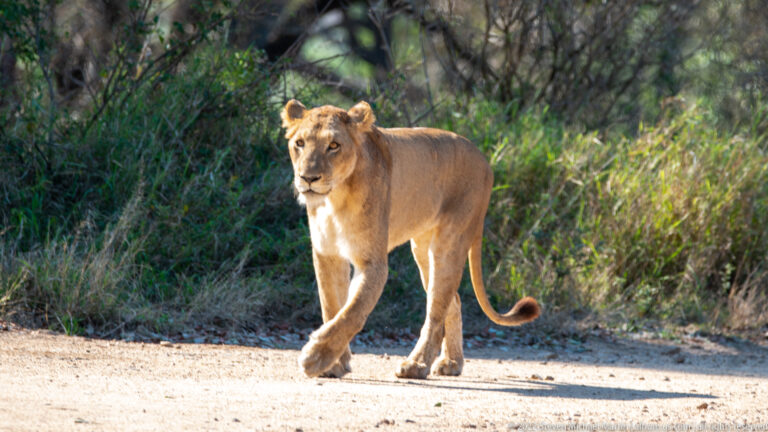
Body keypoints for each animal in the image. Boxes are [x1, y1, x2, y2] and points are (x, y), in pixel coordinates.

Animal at [281, 99, 540, 379]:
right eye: (300, 143)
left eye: (334, 146)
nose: (308, 178)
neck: (334, 199)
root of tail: (484, 159)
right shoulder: (326, 254)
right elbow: (331, 307)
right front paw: (335, 364)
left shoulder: (372, 263)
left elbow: (353, 311)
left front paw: (316, 357)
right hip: (422, 249)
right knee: (453, 301)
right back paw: (452, 363)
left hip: (449, 244)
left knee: (436, 313)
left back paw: (416, 365)